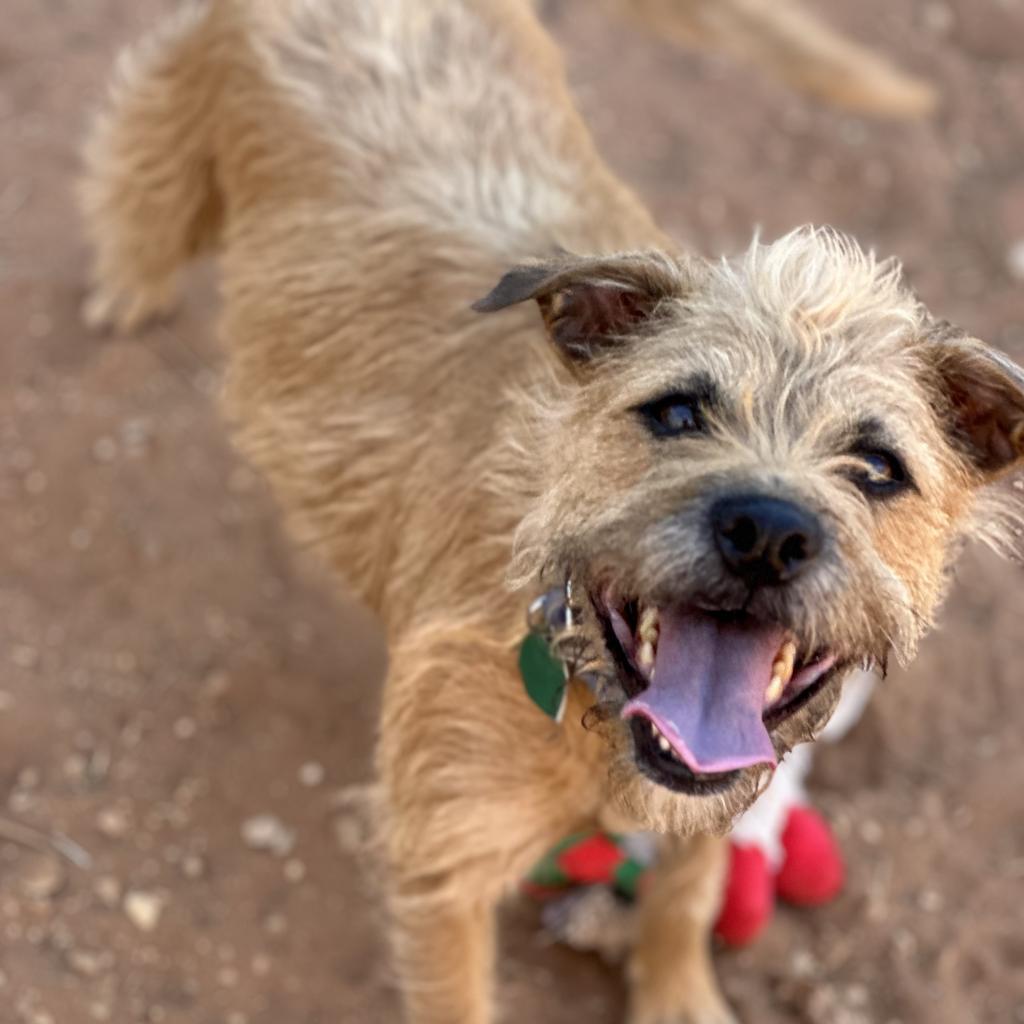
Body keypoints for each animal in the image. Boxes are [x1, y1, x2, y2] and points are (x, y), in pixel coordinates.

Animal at [83, 2, 1024, 1024]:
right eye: (678, 412)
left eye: (878, 467)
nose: (769, 533)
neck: (580, 686)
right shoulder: (444, 862)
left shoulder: (715, 801)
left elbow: (684, 896)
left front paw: (676, 990)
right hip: (184, 118)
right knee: (140, 168)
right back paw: (125, 284)